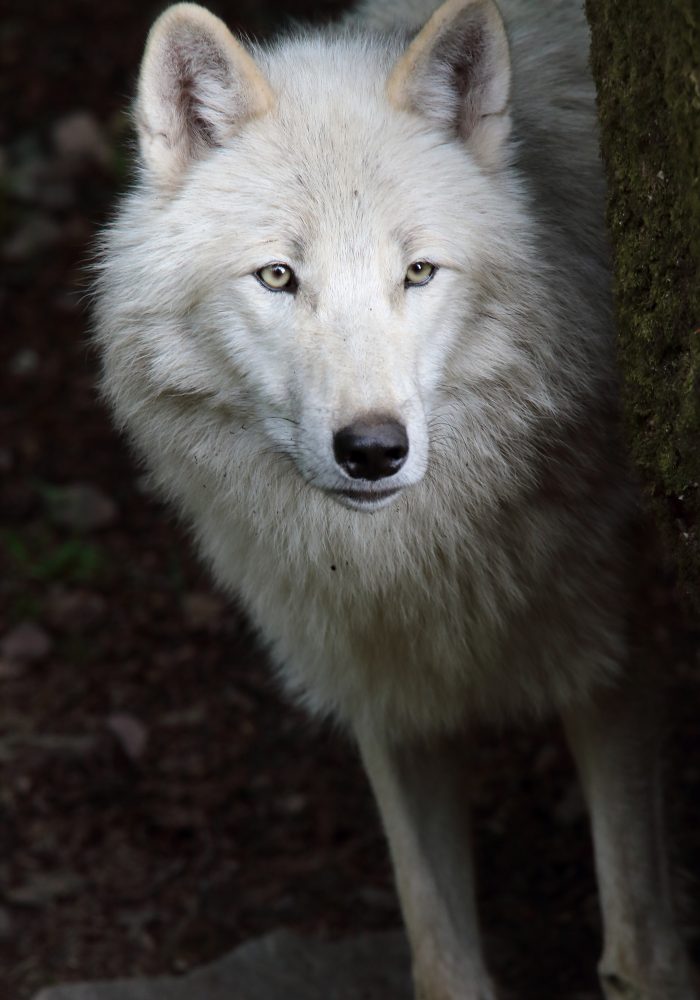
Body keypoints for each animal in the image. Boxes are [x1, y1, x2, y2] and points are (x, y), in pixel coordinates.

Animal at [95, 0, 696, 996]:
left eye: (417, 272)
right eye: (278, 276)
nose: (374, 450)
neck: (414, 569)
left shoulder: (621, 661)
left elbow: (640, 952)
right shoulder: (383, 687)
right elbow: (439, 954)